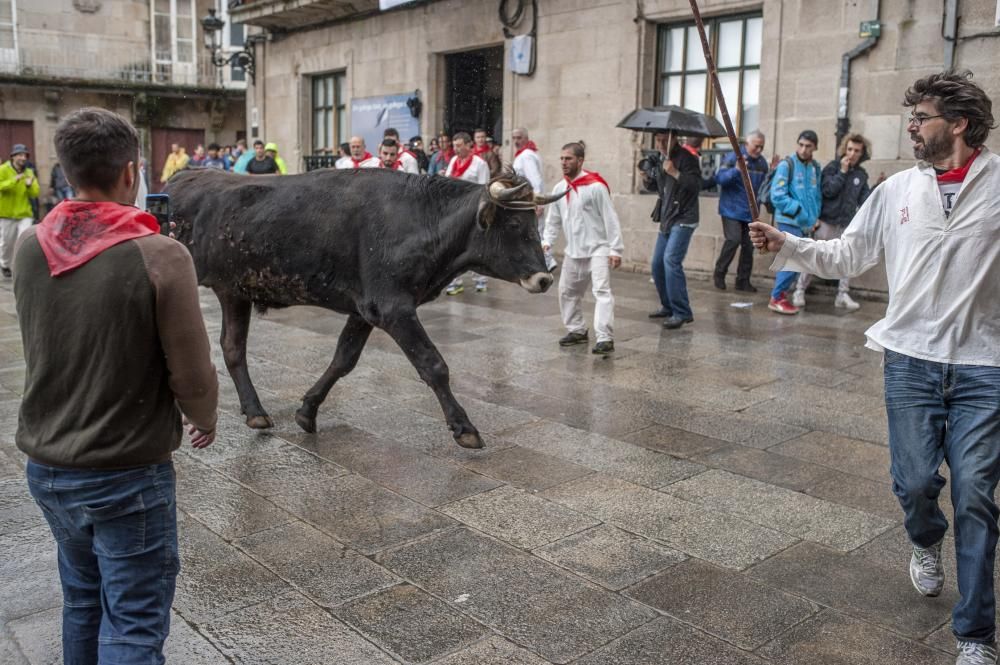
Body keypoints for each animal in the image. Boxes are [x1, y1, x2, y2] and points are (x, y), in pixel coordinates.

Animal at [168, 166, 568, 448]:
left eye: (533, 222)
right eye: (514, 223)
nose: (544, 279)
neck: (420, 220)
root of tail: (180, 178)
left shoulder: (365, 310)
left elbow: (343, 360)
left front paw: (307, 410)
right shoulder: (392, 307)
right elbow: (433, 365)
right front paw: (464, 427)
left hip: (233, 291)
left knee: (232, 349)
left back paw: (255, 413)